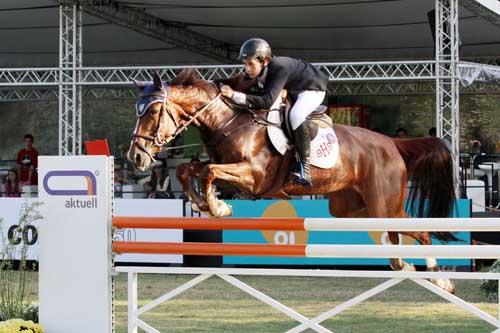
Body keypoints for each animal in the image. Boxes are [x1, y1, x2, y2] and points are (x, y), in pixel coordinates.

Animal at [128, 69, 458, 290]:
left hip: (381, 204)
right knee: (401, 231)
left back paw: (438, 278)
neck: (229, 120)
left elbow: (208, 172)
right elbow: (187, 170)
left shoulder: (254, 177)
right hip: (351, 208)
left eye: (154, 112)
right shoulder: (227, 168)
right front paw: (203, 204)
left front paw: (218, 208)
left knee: (418, 229)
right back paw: (406, 265)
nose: (136, 157)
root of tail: (393, 143)